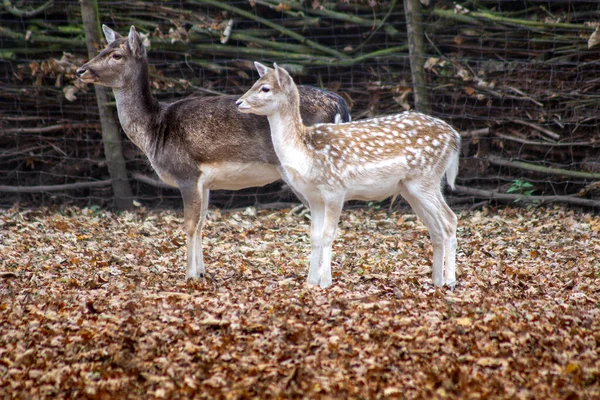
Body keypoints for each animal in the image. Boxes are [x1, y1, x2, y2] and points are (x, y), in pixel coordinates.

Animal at [78, 26, 352, 280]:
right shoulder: (205, 182)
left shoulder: (186, 173)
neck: (155, 131)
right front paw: (201, 271)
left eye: (116, 55)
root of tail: (340, 105)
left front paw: (189, 275)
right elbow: (201, 223)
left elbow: (189, 225)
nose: (81, 70)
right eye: (102, 49)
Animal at [237, 65, 458, 290]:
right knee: (435, 228)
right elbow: (314, 236)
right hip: (410, 188)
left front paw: (325, 282)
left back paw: (450, 280)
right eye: (255, 82)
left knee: (450, 219)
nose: (239, 102)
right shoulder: (313, 197)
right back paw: (436, 280)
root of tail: (455, 137)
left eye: (265, 88)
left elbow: (328, 235)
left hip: (426, 178)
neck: (305, 152)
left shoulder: (335, 189)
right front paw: (310, 282)